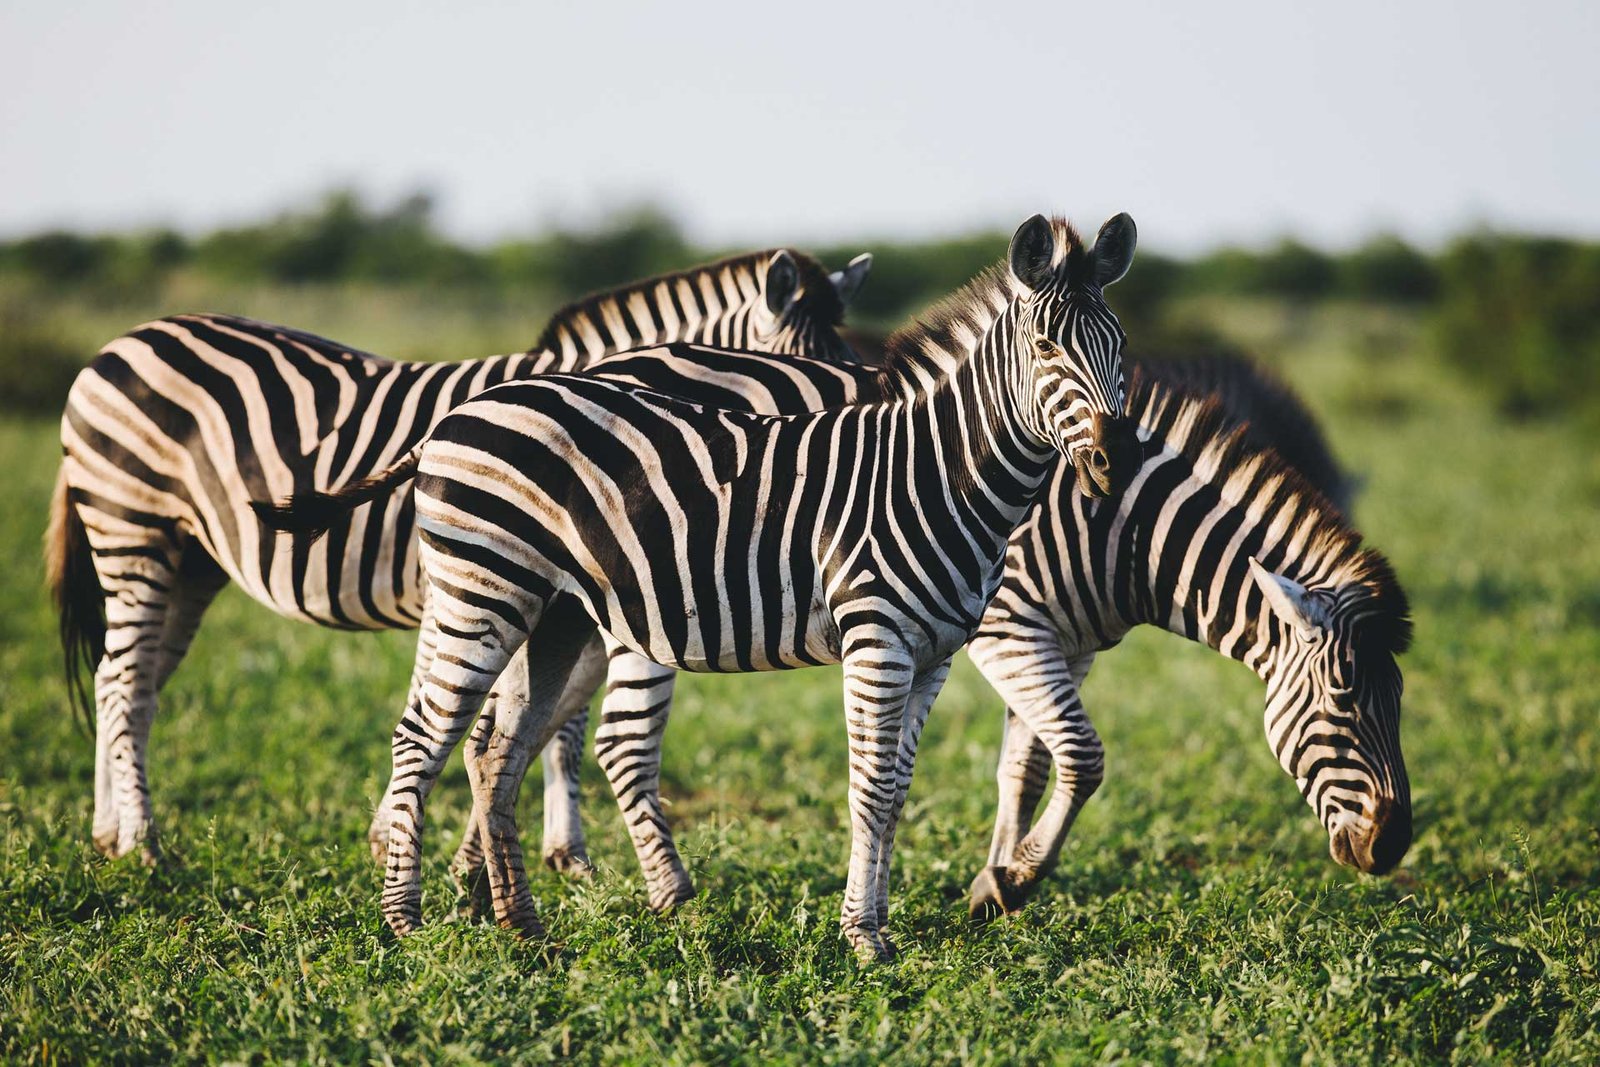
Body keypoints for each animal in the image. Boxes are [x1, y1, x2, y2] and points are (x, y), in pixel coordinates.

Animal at [46, 246, 876, 863]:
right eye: (810, 380)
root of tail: (117, 343)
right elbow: (541, 725)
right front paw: (544, 850)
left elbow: (540, 721)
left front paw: (532, 850)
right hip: (133, 529)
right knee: (123, 680)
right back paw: (143, 843)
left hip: (192, 559)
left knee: (126, 680)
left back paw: (110, 833)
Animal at [259, 211, 1139, 959]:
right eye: (1047, 348)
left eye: (1121, 348)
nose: (1116, 462)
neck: (937, 474)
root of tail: (460, 412)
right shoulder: (877, 638)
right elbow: (867, 787)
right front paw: (863, 937)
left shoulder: (935, 656)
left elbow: (894, 791)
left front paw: (882, 924)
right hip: (482, 588)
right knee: (422, 737)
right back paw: (405, 921)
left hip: (555, 615)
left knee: (494, 749)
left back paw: (522, 925)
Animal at [518, 348, 1369, 908]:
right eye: (1347, 705)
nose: (1387, 845)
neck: (1112, 524)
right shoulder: (1009, 632)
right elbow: (1079, 753)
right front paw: (1012, 877)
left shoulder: (1066, 646)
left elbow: (1027, 763)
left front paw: (999, 876)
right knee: (600, 734)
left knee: (524, 715)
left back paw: (537, 867)